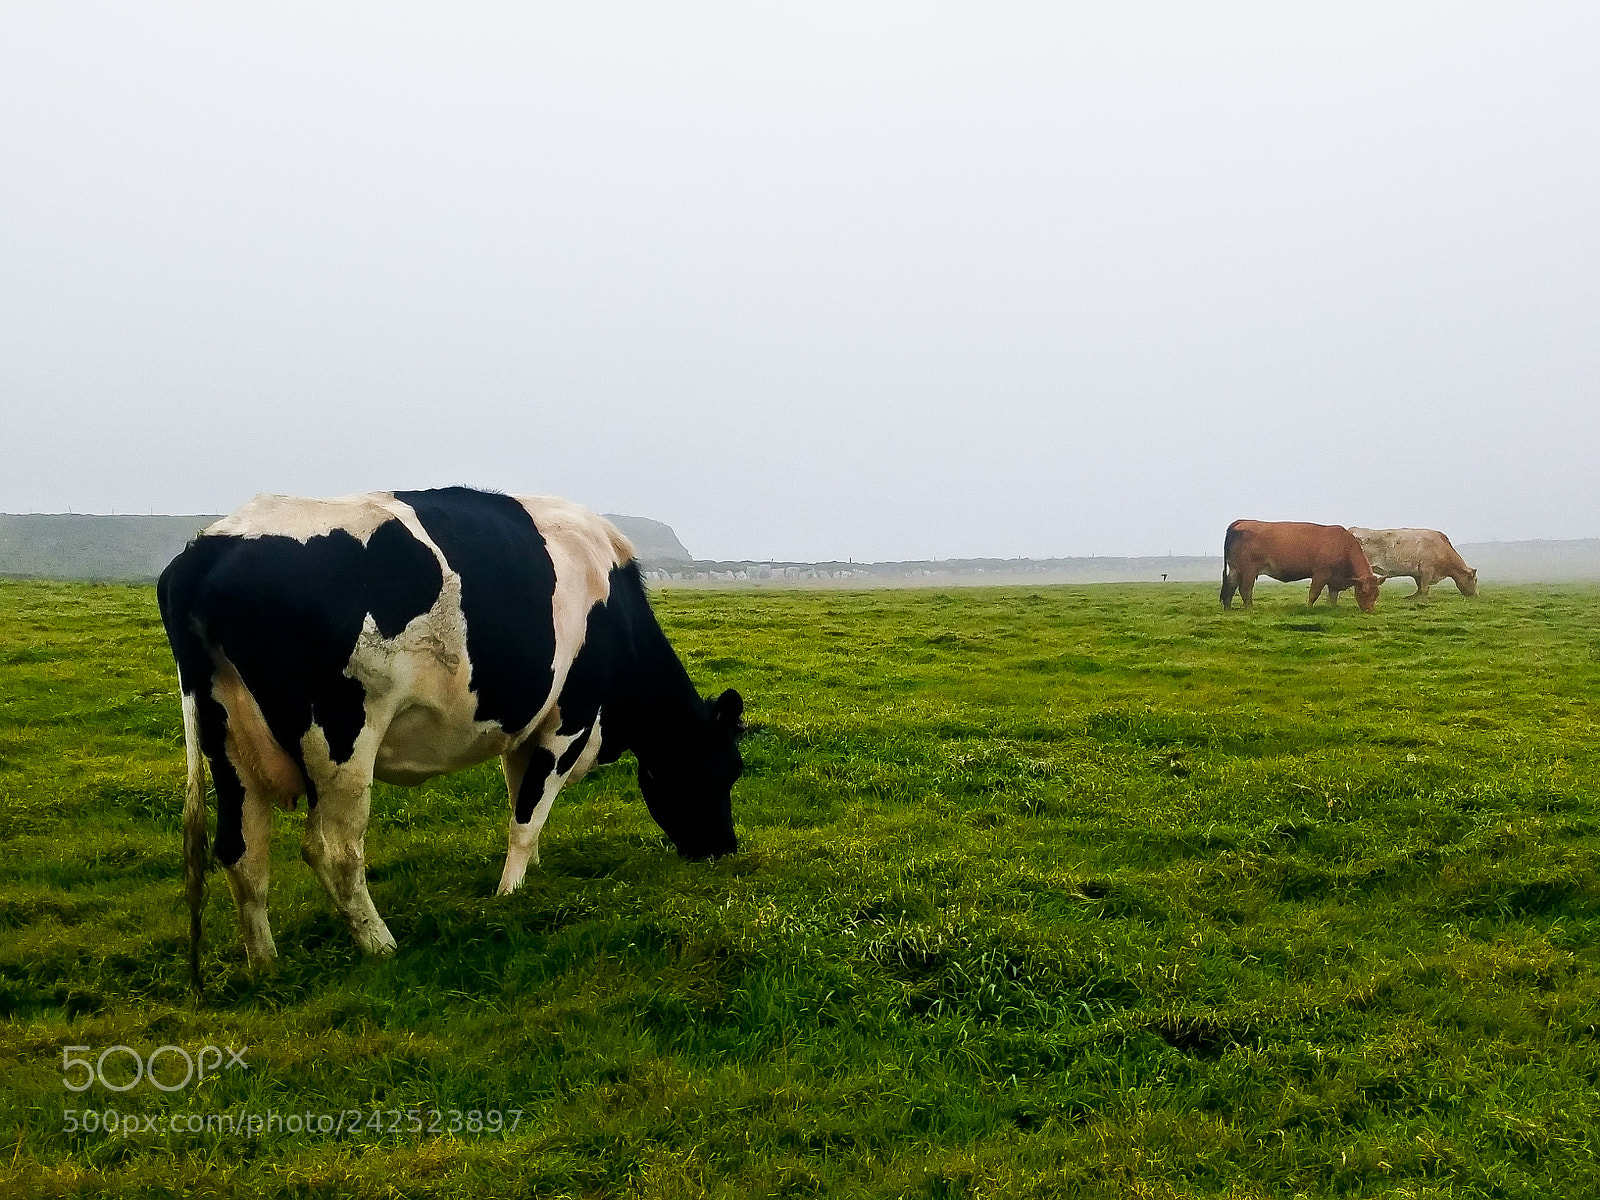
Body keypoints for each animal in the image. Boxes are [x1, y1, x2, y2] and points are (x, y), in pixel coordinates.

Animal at [158, 487, 745, 988]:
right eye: (726, 770)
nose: (724, 848)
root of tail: (209, 547)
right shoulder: (570, 720)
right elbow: (528, 815)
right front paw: (509, 894)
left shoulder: (526, 729)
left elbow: (521, 800)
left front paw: (531, 875)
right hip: (341, 738)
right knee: (333, 850)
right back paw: (381, 946)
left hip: (229, 743)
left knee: (241, 851)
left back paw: (266, 964)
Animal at [1220, 519, 1380, 612]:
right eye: (1364, 592)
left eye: (1377, 594)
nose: (1369, 610)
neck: (1344, 546)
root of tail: (1241, 522)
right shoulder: (1321, 573)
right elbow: (1314, 593)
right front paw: (1309, 608)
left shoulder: (1334, 578)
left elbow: (1333, 596)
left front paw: (1334, 609)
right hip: (1249, 570)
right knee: (1245, 589)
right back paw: (1250, 609)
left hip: (1235, 568)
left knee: (1230, 585)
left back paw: (1228, 608)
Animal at [1349, 527, 1478, 599]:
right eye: (1475, 580)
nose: (1476, 595)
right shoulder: (1427, 570)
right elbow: (1424, 588)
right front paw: (1422, 600)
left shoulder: (1418, 573)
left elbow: (1420, 587)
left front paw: (1413, 597)